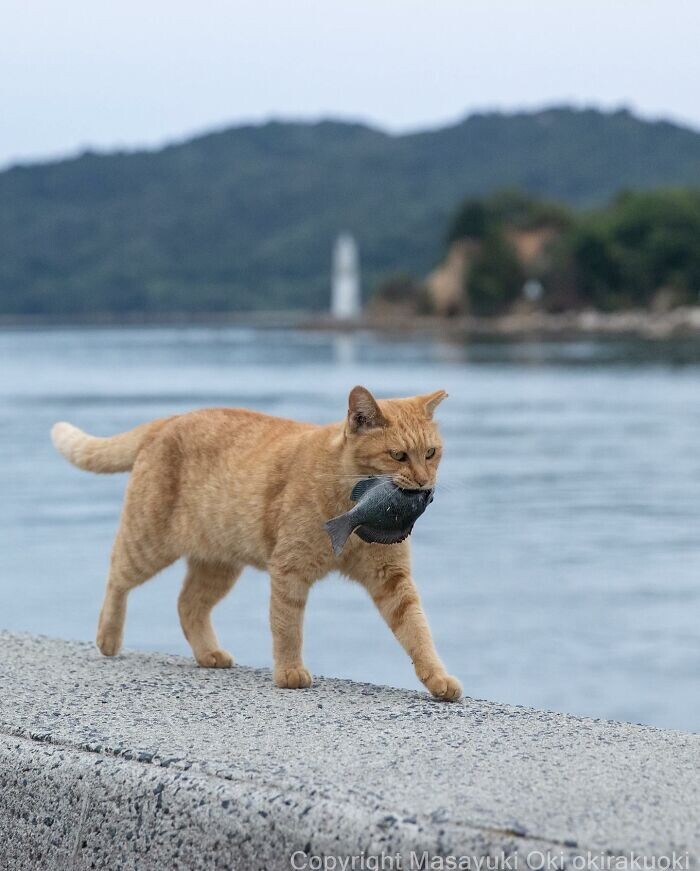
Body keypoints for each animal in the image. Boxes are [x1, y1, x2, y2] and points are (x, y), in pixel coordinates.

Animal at [52, 388, 462, 700]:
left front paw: (437, 679)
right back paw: (108, 638)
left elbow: (417, 630)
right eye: (398, 455)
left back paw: (209, 653)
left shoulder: (391, 577)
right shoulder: (290, 570)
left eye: (431, 453)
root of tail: (171, 418)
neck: (352, 503)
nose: (424, 484)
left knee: (187, 605)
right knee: (116, 578)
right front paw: (290, 672)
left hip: (217, 565)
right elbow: (287, 627)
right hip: (147, 544)